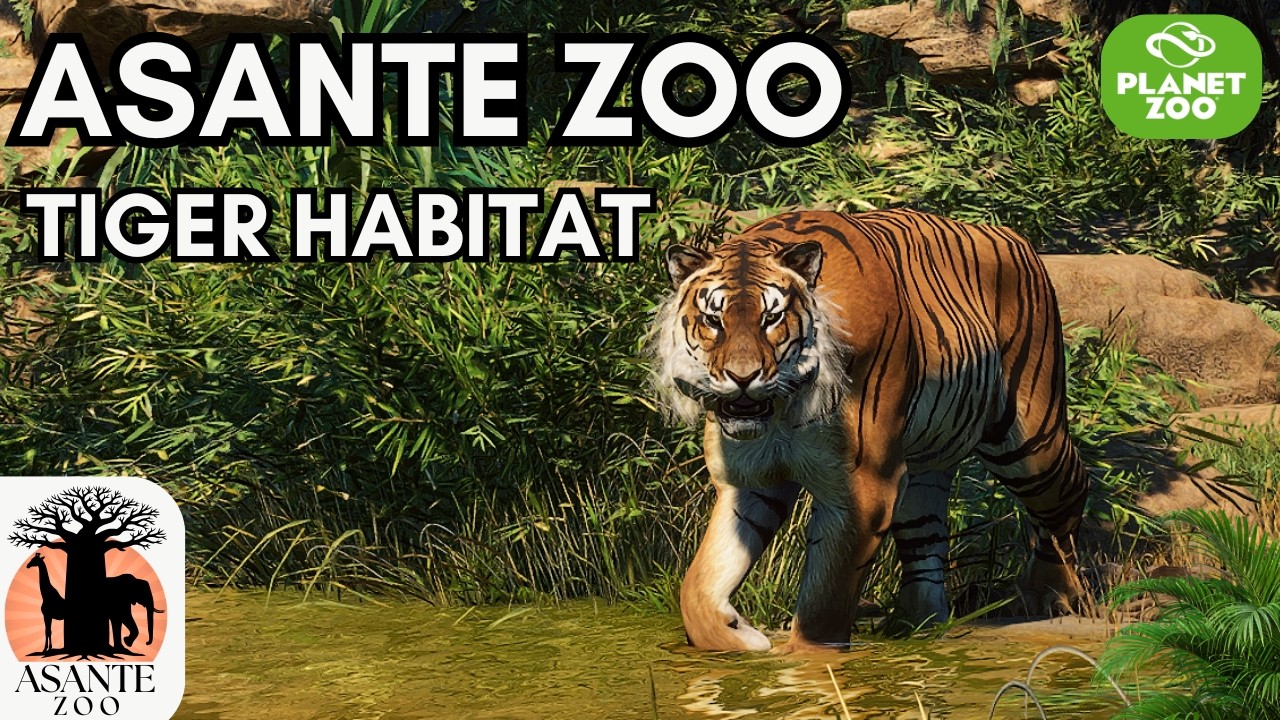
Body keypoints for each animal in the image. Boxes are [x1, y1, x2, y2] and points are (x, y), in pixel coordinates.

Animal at [651, 209, 1090, 652]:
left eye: (771, 318)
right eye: (713, 320)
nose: (743, 378)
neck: (782, 411)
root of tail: (1014, 236)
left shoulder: (865, 485)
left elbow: (824, 605)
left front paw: (809, 661)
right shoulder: (750, 479)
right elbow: (698, 587)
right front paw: (740, 638)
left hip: (1030, 438)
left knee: (1071, 489)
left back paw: (1052, 595)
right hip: (924, 464)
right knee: (925, 538)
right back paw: (915, 624)